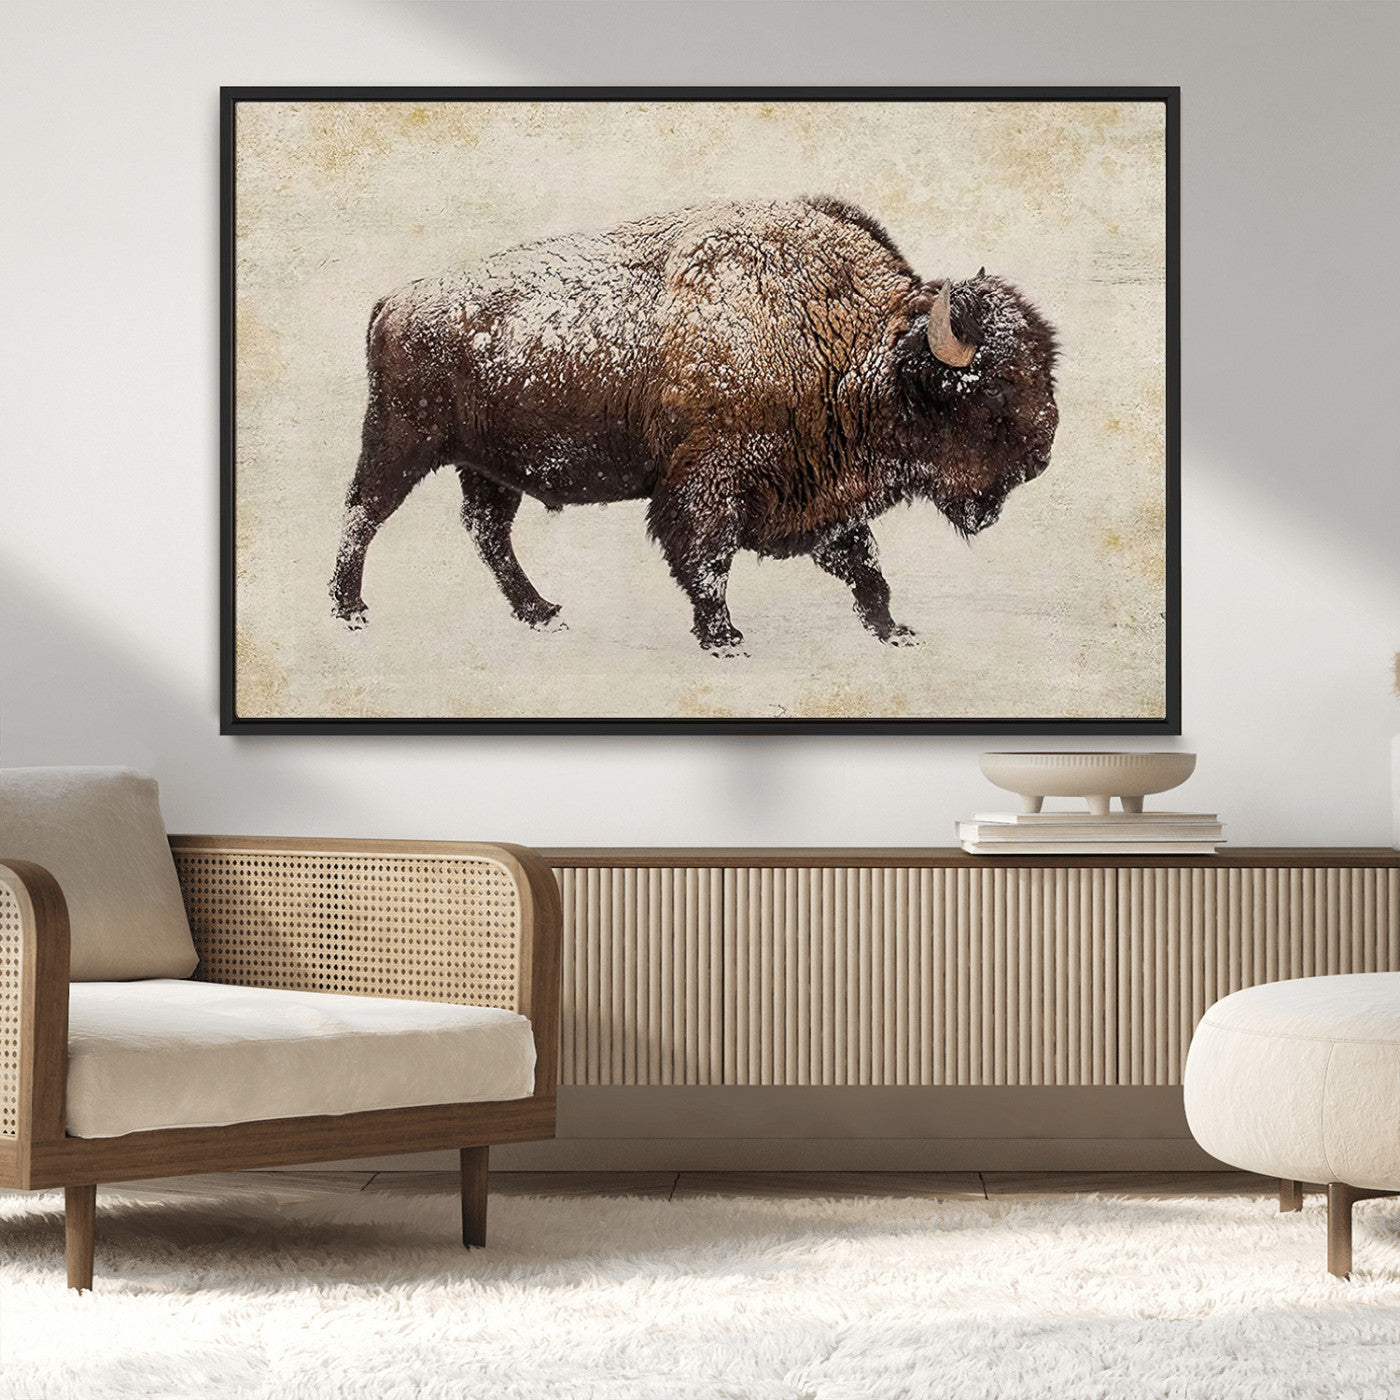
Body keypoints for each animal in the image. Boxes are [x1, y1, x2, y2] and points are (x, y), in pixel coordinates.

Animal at [329, 197, 1058, 653]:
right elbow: (707, 560)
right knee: (362, 515)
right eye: (992, 388)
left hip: (488, 467)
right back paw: (349, 611)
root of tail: (396, 299)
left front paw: (893, 630)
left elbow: (865, 566)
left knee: (488, 534)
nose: (1042, 455)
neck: (845, 342)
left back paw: (542, 613)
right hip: (400, 443)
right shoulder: (709, 483)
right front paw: (724, 639)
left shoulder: (825, 494)